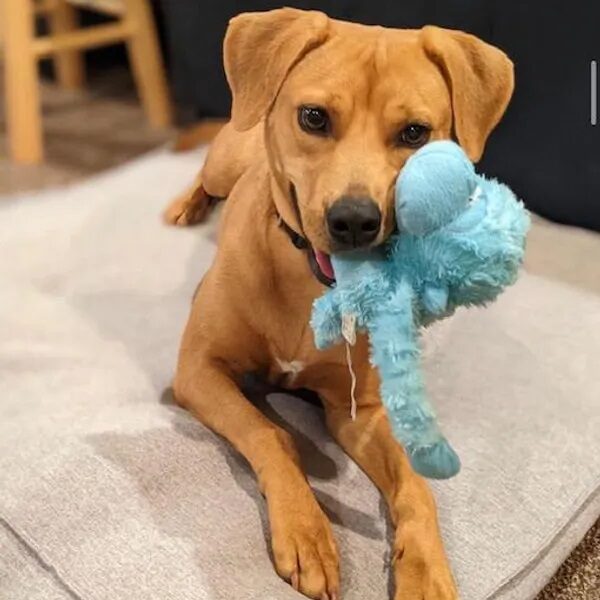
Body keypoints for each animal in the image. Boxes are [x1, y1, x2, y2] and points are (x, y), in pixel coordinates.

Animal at [165, 7, 516, 596]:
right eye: (314, 117)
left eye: (414, 133)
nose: (354, 221)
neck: (307, 285)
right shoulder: (197, 370)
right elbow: (270, 433)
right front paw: (306, 530)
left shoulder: (360, 411)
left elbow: (416, 486)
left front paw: (426, 568)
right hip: (225, 157)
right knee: (202, 176)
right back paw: (184, 206)